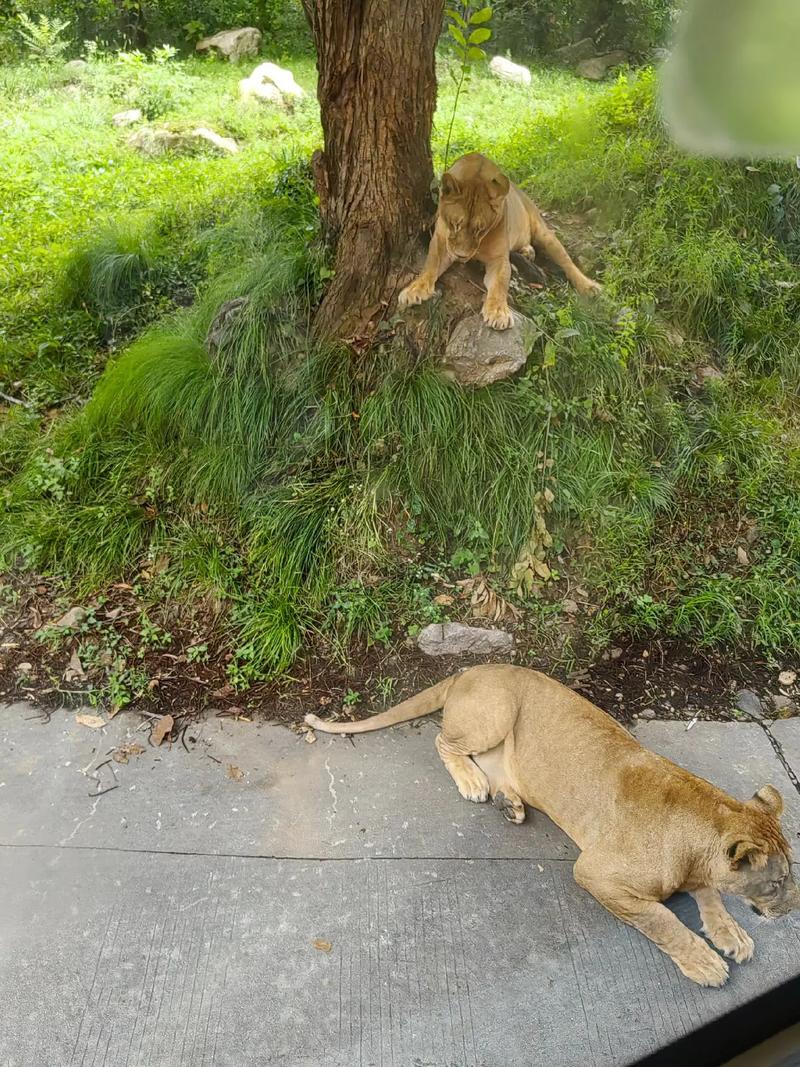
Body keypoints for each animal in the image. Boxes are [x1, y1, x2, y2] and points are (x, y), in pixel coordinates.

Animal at [302, 661, 797, 985]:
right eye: (777, 883)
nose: (793, 909)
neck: (702, 826)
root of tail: (471, 667)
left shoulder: (701, 871)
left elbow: (711, 897)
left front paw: (732, 934)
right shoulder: (595, 873)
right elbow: (661, 919)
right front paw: (706, 962)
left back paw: (510, 803)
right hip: (496, 710)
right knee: (444, 742)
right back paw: (473, 784)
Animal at [398, 152, 601, 328]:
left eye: (480, 229)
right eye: (455, 224)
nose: (461, 256)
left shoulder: (499, 260)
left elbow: (500, 285)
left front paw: (497, 313)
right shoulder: (441, 242)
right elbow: (429, 266)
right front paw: (414, 289)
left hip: (545, 234)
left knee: (567, 262)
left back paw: (589, 286)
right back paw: (528, 251)